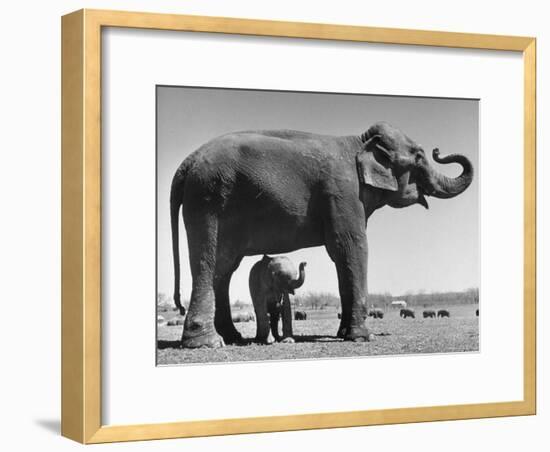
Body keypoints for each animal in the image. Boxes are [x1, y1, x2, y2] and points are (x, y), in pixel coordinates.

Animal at [171, 122, 474, 348]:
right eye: (419, 156)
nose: (438, 149)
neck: (359, 142)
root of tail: (186, 163)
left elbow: (342, 256)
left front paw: (344, 334)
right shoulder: (343, 193)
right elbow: (351, 247)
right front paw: (362, 337)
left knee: (224, 268)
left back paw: (232, 337)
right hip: (208, 200)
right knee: (208, 262)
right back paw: (208, 343)